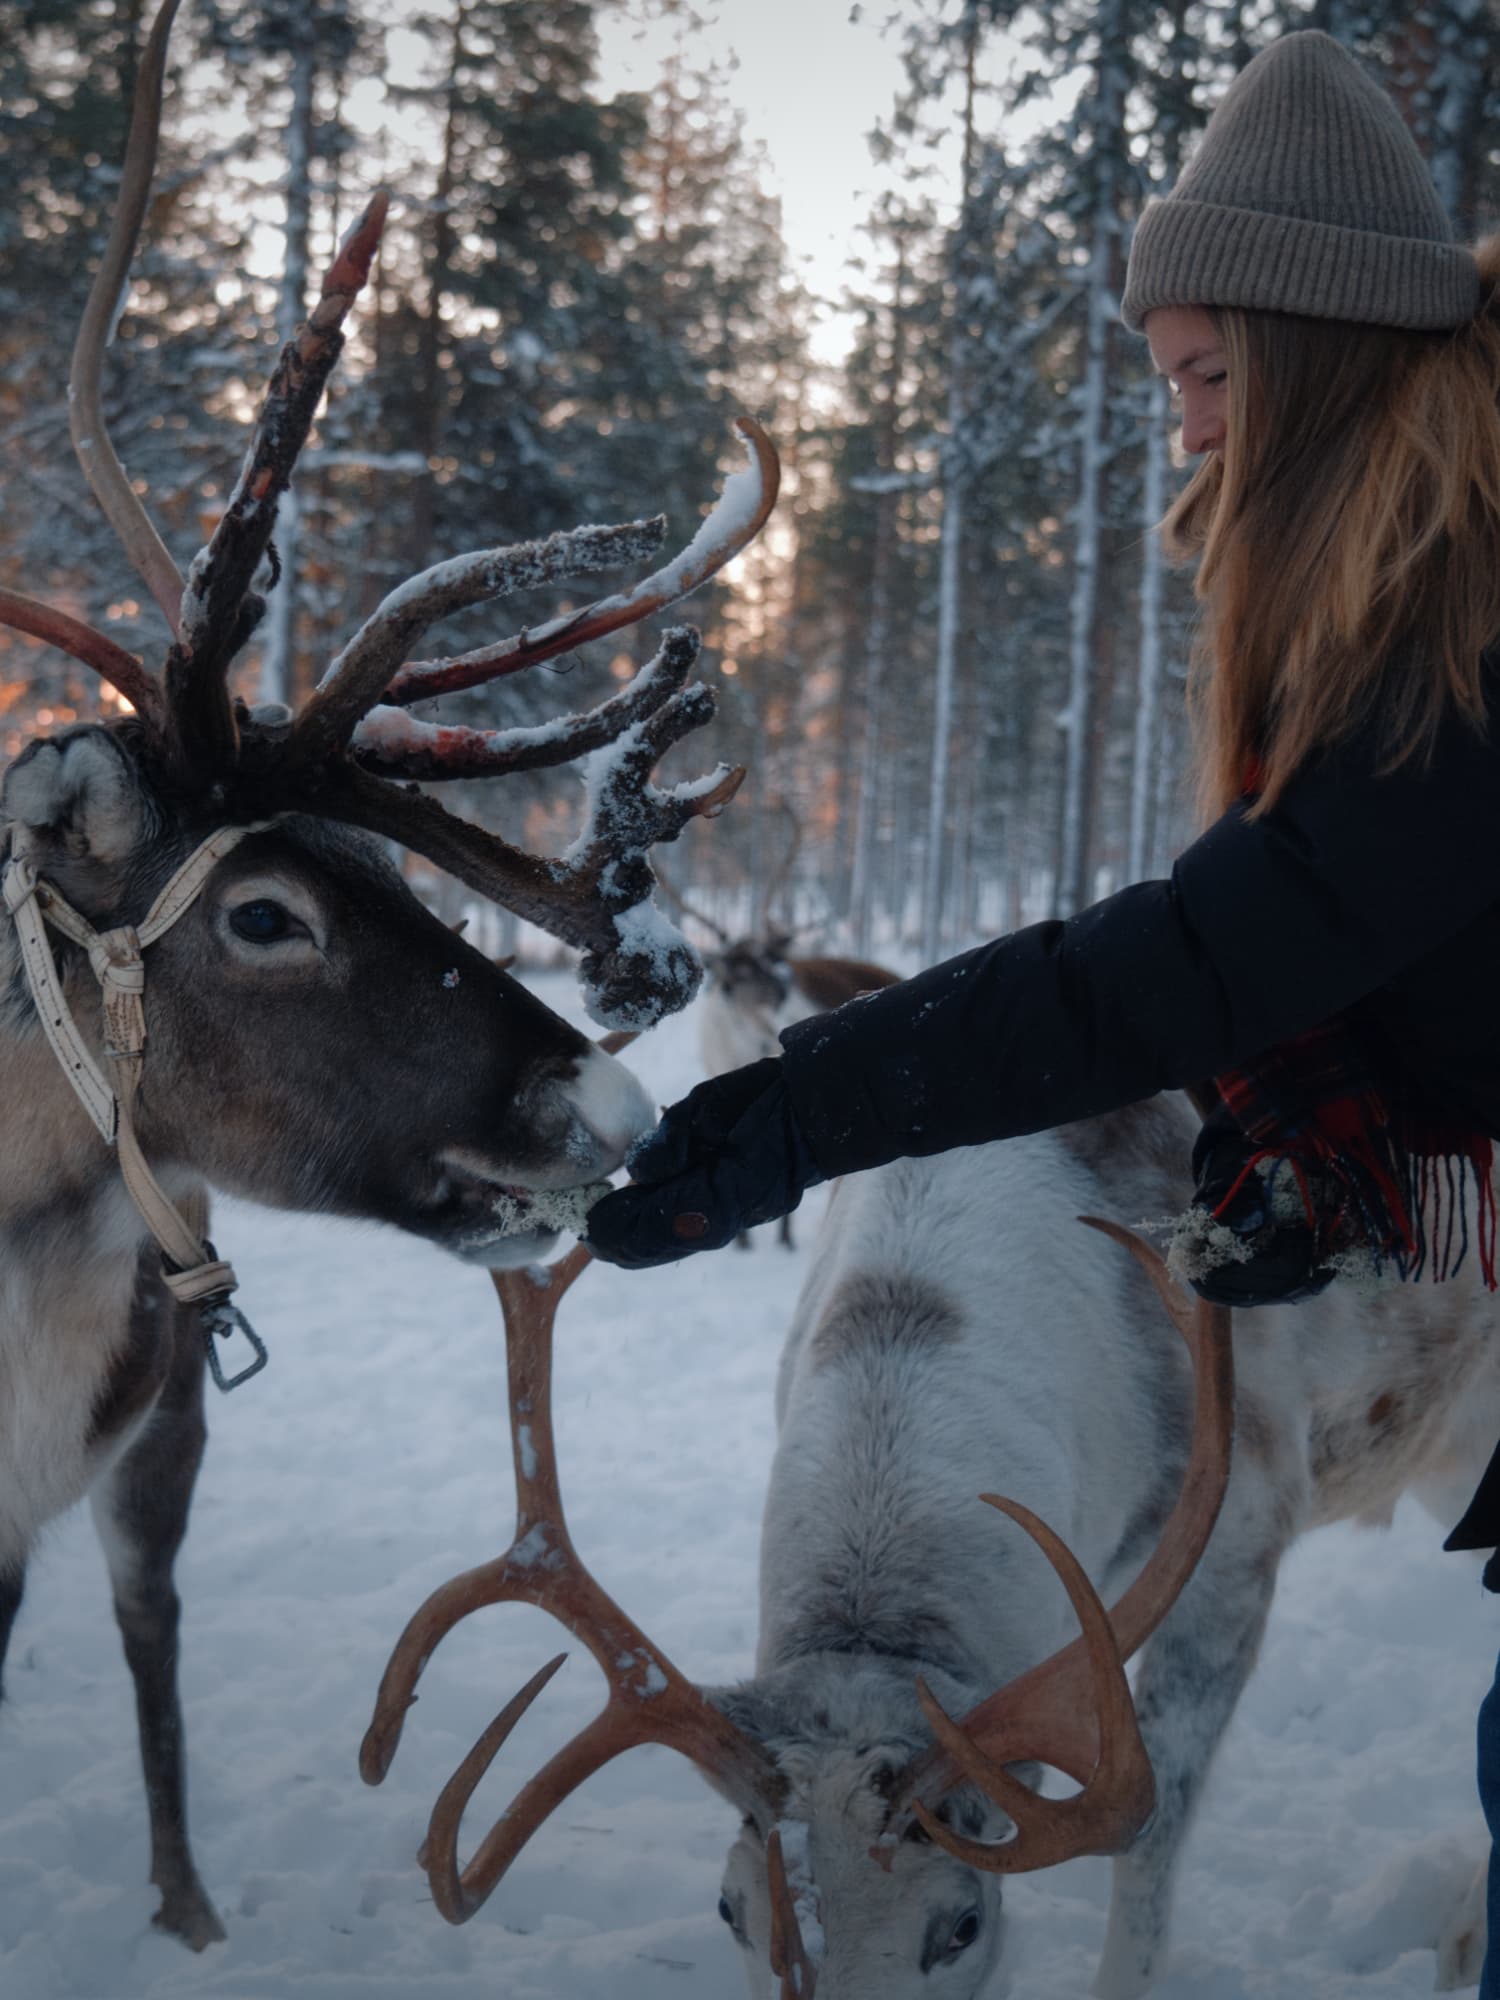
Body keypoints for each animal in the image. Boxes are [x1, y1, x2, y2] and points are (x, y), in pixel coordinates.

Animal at [0, 0, 778, 1955]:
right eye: (267, 913)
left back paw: (189, 1907)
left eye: (386, 872)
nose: (607, 1095)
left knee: (150, 1627)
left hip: (165, 1434)